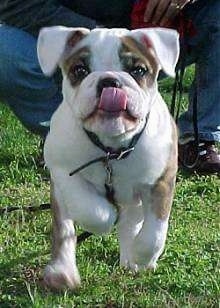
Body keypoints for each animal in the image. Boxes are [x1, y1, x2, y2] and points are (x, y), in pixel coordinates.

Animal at [37, 25, 179, 288]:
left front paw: (142, 256)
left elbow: (154, 233)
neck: (111, 150)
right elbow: (90, 209)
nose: (109, 81)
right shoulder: (61, 169)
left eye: (138, 70)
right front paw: (106, 216)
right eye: (80, 70)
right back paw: (62, 271)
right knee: (64, 230)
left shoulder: (162, 180)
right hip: (60, 198)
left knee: (133, 222)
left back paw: (131, 256)